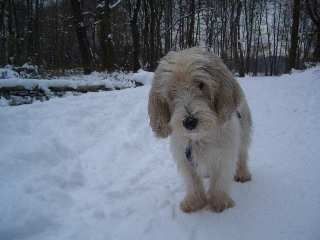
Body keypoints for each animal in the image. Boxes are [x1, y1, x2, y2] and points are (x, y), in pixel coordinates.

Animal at [148, 47, 252, 213]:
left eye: (201, 84)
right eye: (172, 90)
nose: (189, 122)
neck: (200, 137)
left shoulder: (225, 153)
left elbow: (220, 179)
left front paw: (219, 202)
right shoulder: (184, 155)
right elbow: (192, 181)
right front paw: (195, 202)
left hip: (244, 131)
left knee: (242, 155)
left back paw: (242, 174)